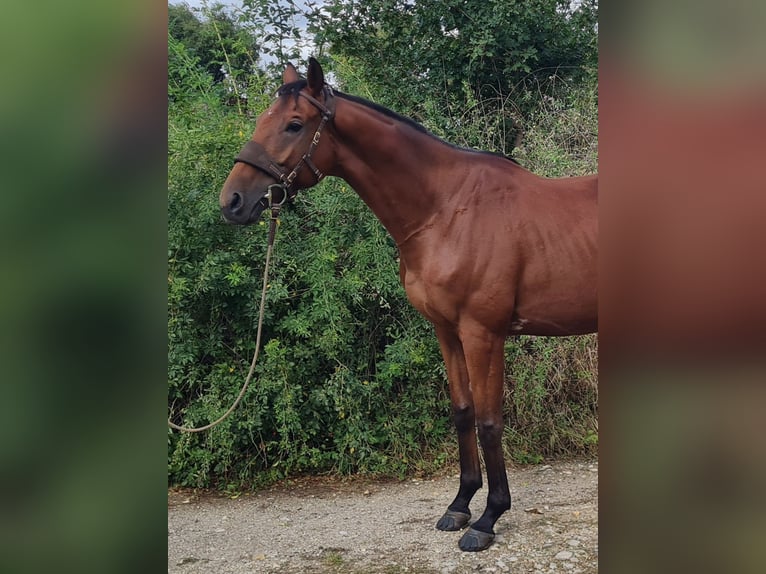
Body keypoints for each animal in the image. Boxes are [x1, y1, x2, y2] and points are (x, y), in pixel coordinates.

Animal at [219, 58, 596, 552]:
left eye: (294, 124)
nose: (232, 201)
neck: (448, 210)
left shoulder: (483, 333)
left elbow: (490, 421)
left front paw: (488, 519)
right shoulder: (447, 330)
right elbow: (463, 413)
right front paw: (460, 505)